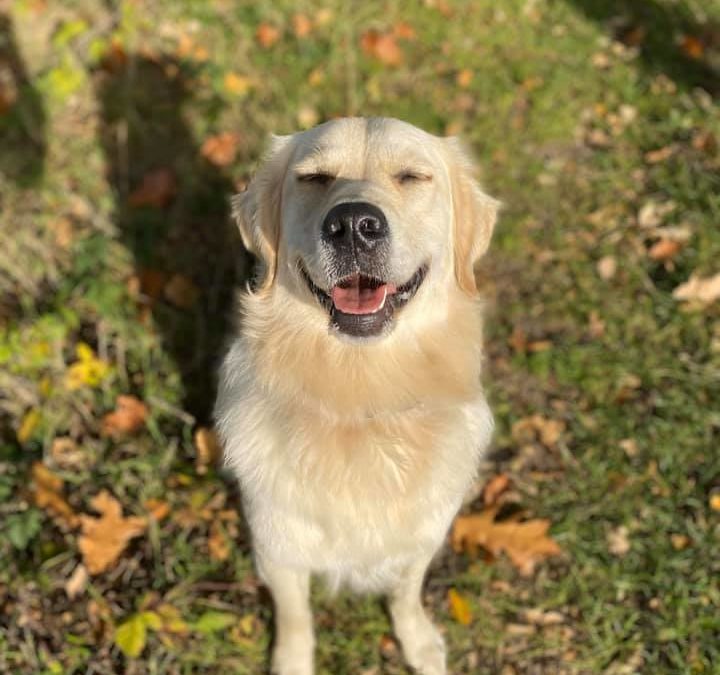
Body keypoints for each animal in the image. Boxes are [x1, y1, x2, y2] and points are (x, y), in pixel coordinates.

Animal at [212, 117, 496, 675]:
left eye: (411, 176)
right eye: (315, 178)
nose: (353, 225)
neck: (360, 397)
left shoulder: (420, 538)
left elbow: (406, 594)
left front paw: (418, 642)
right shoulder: (279, 546)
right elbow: (296, 617)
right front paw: (293, 662)